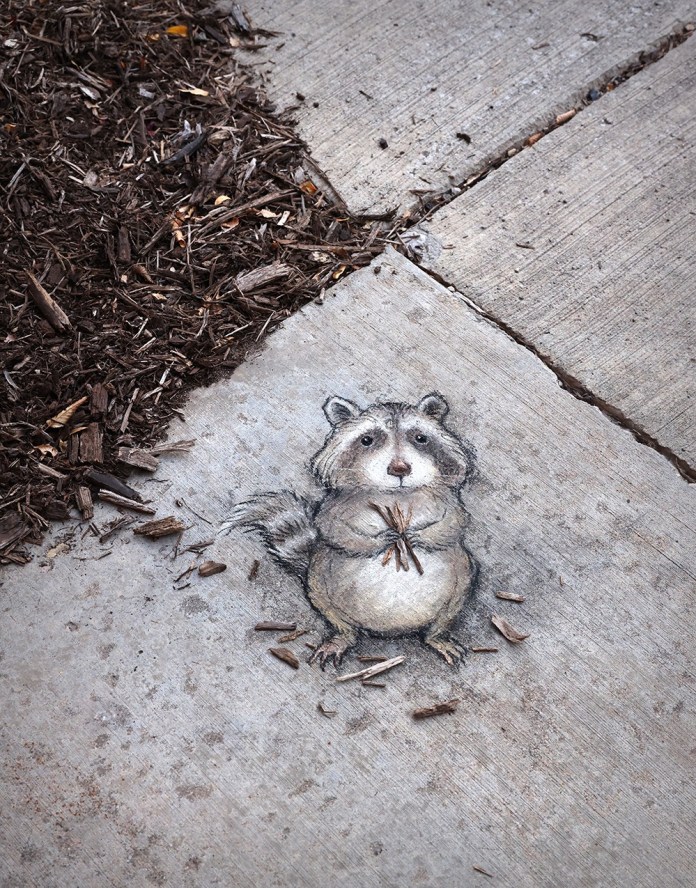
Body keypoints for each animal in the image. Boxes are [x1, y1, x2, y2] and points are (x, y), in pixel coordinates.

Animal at [229, 393, 477, 667]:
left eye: (420, 438)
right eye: (367, 440)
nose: (399, 469)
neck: (396, 496)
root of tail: (391, 630)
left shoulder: (447, 501)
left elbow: (454, 524)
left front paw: (421, 535)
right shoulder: (336, 505)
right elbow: (333, 530)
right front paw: (378, 540)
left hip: (462, 578)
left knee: (449, 608)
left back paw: (437, 636)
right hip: (319, 581)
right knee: (336, 616)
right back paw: (341, 637)